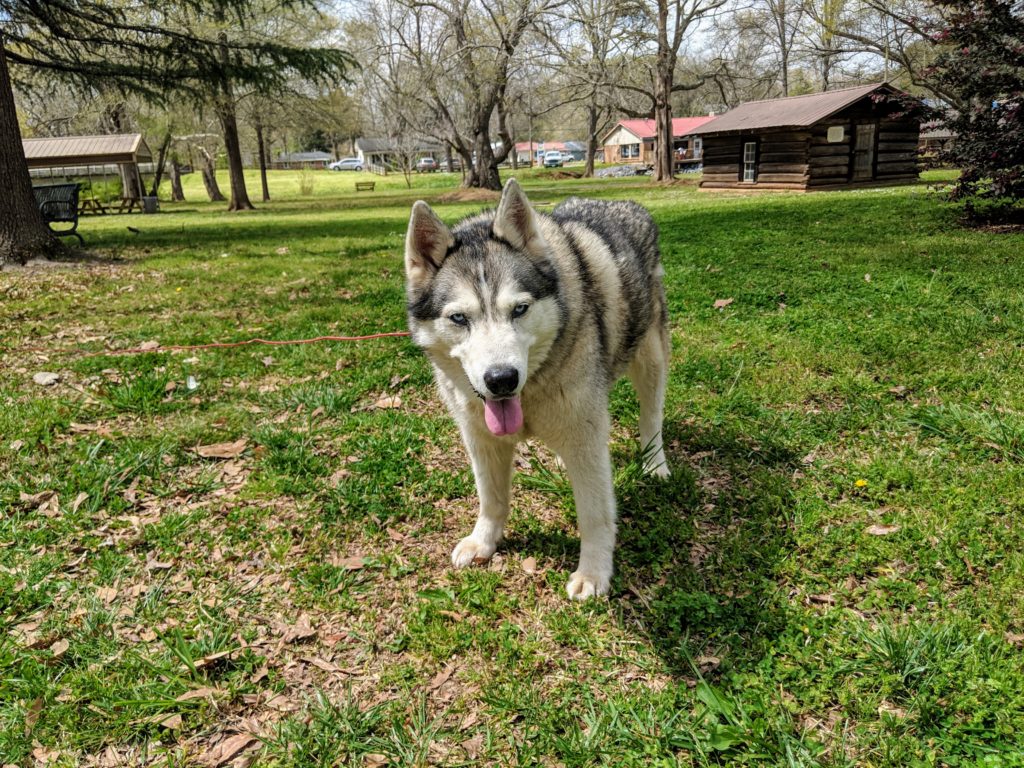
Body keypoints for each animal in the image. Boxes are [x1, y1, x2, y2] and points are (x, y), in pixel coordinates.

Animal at [403, 179, 667, 602]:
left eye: (520, 309)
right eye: (459, 318)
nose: (501, 379)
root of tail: (624, 202)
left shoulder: (587, 438)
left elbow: (594, 514)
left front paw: (594, 572)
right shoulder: (480, 438)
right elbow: (491, 498)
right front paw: (484, 541)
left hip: (651, 358)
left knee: (651, 416)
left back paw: (655, 462)